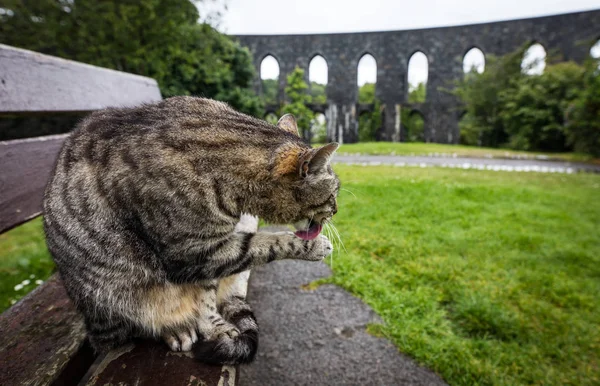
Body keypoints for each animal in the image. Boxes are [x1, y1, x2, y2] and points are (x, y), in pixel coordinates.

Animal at [42, 96, 340, 364]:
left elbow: (206, 295)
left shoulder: (208, 258)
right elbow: (264, 244)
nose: (336, 210)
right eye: (334, 193)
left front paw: (212, 325)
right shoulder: (192, 252)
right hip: (110, 297)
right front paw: (313, 246)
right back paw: (175, 329)